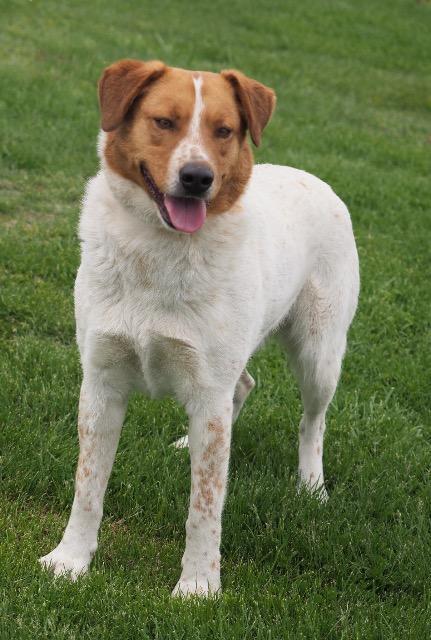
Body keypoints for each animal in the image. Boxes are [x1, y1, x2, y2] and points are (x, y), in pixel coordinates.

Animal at [38, 58, 362, 596]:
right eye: (164, 122)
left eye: (224, 130)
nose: (197, 178)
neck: (159, 250)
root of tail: (315, 178)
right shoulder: (101, 382)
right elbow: (87, 487)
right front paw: (70, 560)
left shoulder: (209, 388)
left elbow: (205, 505)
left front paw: (198, 588)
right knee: (244, 385)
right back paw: (190, 442)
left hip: (319, 353)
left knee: (312, 422)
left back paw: (312, 486)